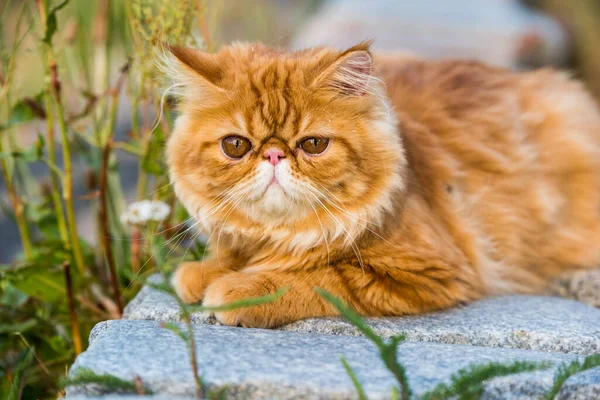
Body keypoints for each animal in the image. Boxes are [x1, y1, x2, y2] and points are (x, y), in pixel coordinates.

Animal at [162, 40, 600, 328]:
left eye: (313, 144)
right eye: (236, 145)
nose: (273, 156)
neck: (279, 234)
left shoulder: (426, 273)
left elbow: (318, 278)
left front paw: (237, 288)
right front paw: (204, 273)